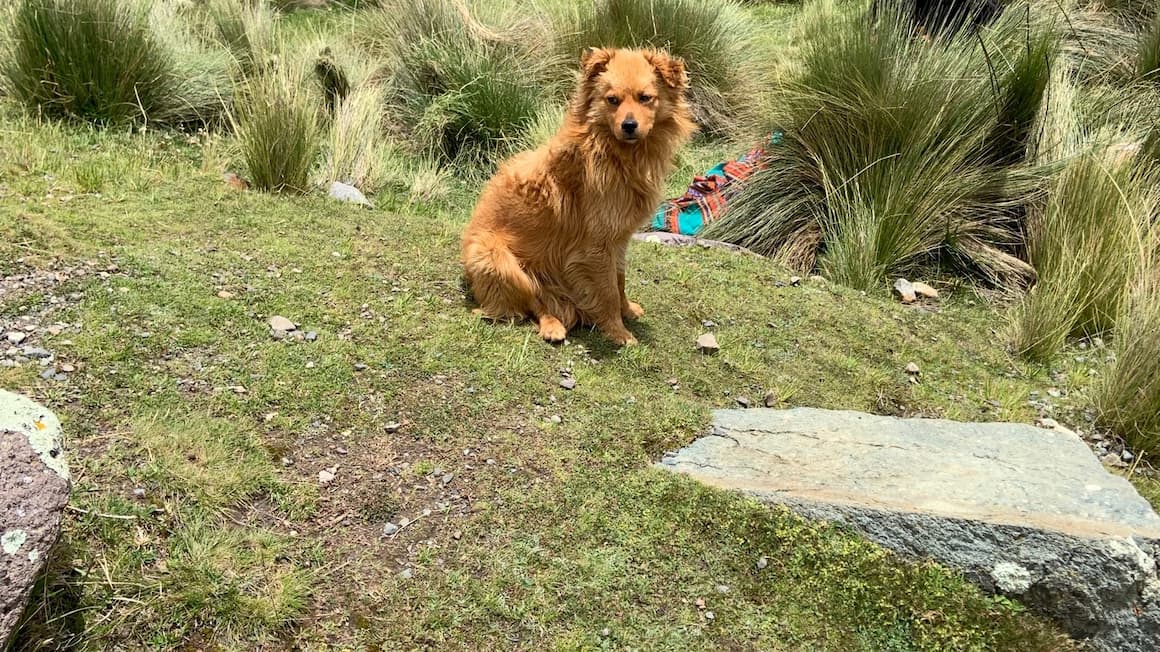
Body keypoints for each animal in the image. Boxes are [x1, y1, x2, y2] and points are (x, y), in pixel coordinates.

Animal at [461, 47, 696, 343]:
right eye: (612, 100)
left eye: (645, 97)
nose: (629, 125)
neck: (616, 155)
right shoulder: (596, 245)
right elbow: (608, 292)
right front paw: (619, 332)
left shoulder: (619, 239)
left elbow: (620, 282)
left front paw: (627, 310)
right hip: (497, 260)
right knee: (532, 302)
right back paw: (552, 327)